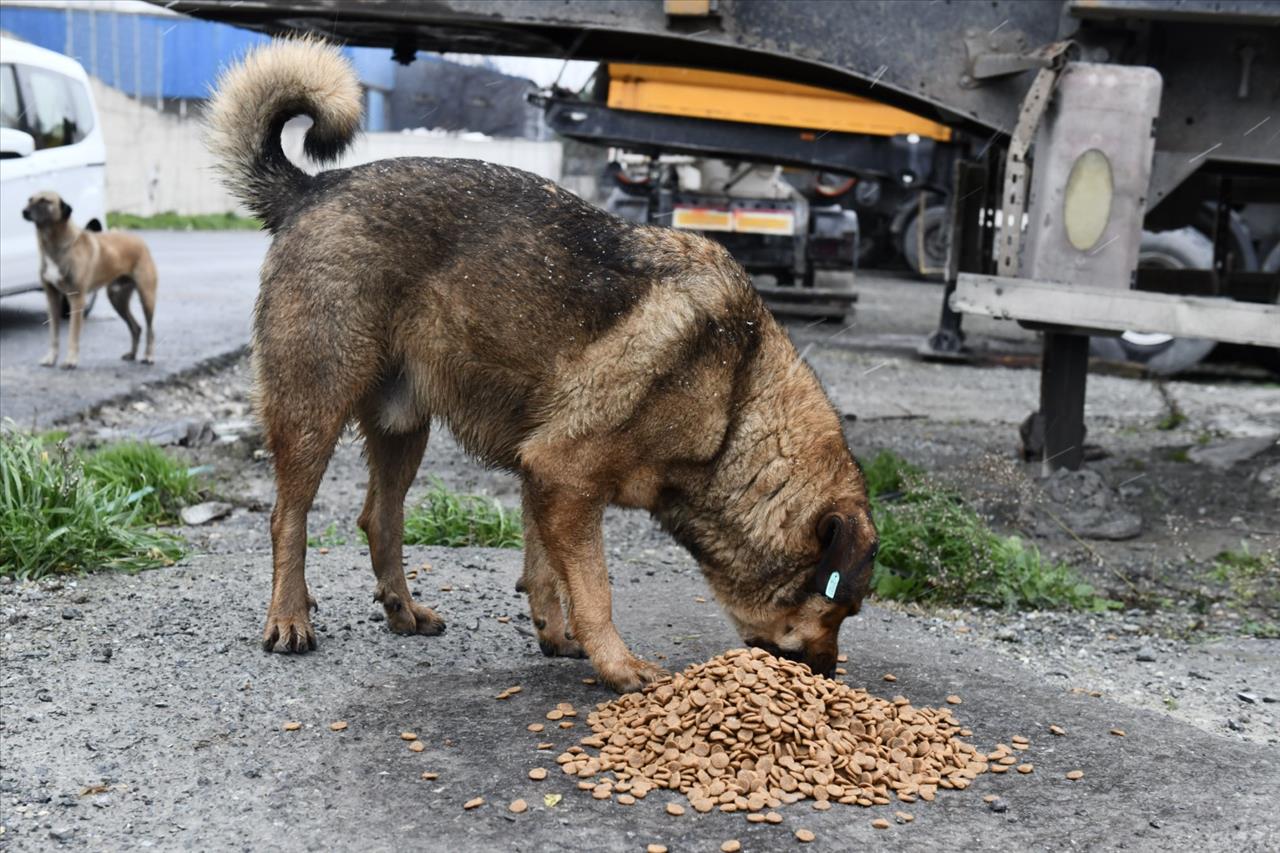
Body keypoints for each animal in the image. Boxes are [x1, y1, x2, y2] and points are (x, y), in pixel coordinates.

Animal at [22, 190, 158, 366]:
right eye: (30, 199)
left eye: (45, 201)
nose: (24, 211)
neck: (56, 245)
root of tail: (141, 241)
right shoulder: (52, 297)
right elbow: (53, 334)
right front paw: (51, 358)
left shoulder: (77, 298)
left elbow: (73, 333)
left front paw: (71, 360)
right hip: (117, 298)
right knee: (136, 327)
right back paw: (132, 354)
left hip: (146, 297)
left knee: (150, 329)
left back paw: (148, 356)